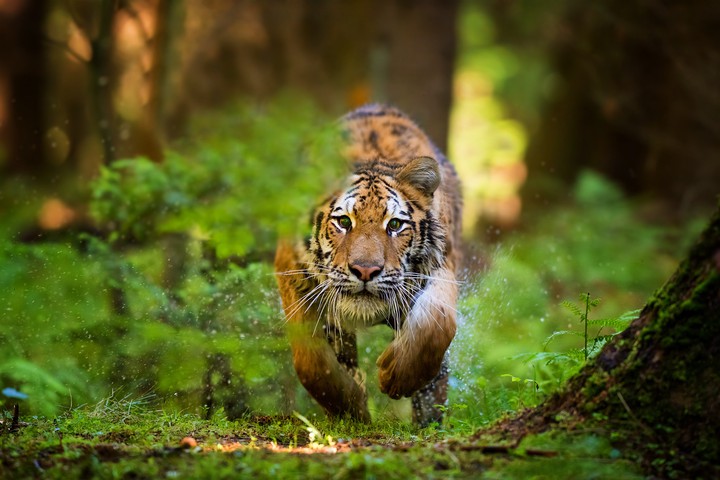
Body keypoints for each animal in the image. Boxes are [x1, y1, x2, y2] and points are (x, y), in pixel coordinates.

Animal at [275, 104, 462, 426]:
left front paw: (394, 377)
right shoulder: (291, 271)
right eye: (344, 222)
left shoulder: (441, 265)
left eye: (395, 225)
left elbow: (436, 325)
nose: (365, 270)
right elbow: (310, 360)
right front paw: (350, 407)